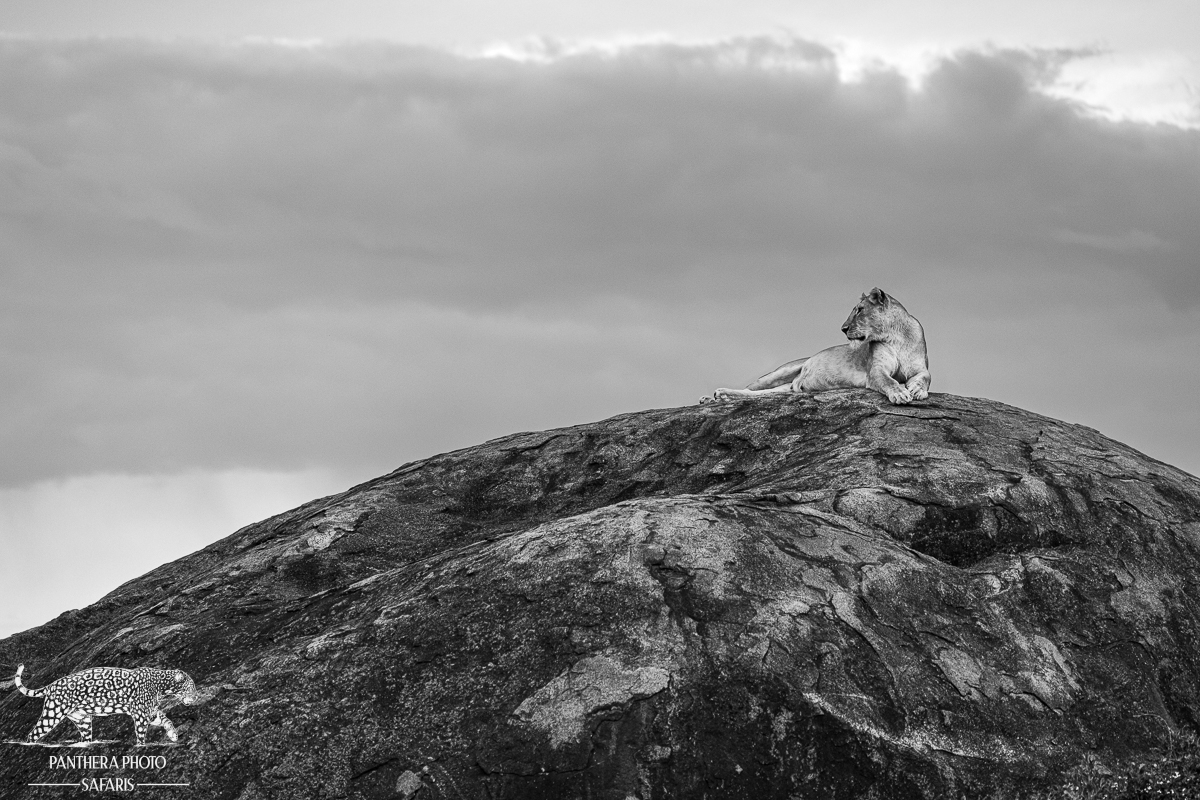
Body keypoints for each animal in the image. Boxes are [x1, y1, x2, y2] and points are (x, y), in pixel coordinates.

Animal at [701, 288, 930, 405]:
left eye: (859, 310)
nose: (843, 328)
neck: (896, 336)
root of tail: (795, 383)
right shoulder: (876, 370)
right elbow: (887, 380)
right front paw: (900, 393)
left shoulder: (921, 368)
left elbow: (925, 377)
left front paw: (916, 389)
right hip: (781, 371)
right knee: (751, 388)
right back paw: (713, 397)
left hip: (785, 387)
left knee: (762, 394)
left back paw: (721, 396)